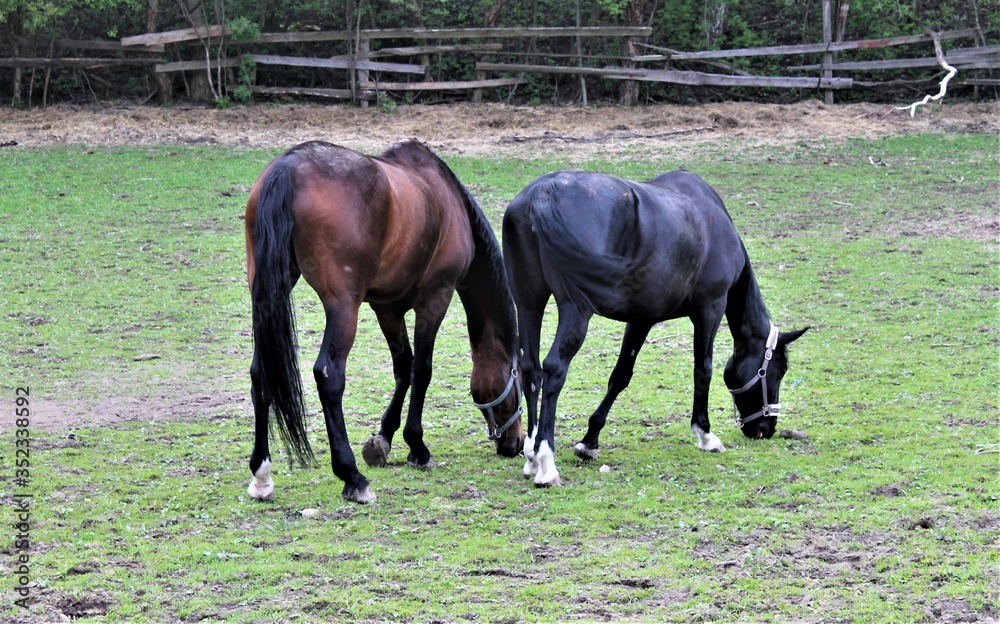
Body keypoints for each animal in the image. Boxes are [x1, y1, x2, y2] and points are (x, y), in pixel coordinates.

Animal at [244, 139, 524, 504]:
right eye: (519, 381)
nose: (515, 442)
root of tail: (288, 168)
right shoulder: (436, 297)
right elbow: (422, 370)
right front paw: (417, 446)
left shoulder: (386, 308)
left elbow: (404, 367)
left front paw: (384, 439)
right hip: (343, 306)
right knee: (329, 376)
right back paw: (352, 477)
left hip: (269, 293)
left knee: (260, 371)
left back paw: (262, 473)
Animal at [502, 169, 807, 487]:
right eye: (779, 370)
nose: (766, 429)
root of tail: (542, 193)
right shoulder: (710, 308)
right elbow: (703, 370)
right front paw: (705, 434)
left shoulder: (641, 319)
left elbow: (620, 376)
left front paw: (590, 440)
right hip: (576, 310)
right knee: (554, 370)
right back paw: (546, 461)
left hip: (529, 304)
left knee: (531, 369)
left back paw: (531, 455)